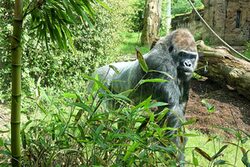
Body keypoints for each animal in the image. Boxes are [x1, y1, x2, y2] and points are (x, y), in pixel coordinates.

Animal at [93, 29, 198, 166]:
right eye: (182, 54)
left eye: (192, 56)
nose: (188, 64)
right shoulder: (161, 64)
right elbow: (172, 109)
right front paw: (176, 155)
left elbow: (169, 112)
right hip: (98, 81)